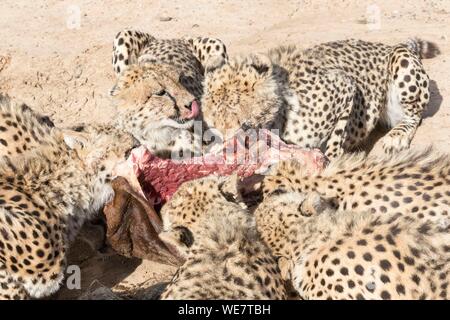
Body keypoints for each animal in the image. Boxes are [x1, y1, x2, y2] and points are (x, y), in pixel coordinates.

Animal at [201, 39, 440, 159]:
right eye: (213, 120)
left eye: (244, 123)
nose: (226, 140)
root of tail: (385, 45)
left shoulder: (345, 86)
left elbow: (336, 138)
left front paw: (332, 160)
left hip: (402, 61)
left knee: (413, 117)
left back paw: (396, 136)